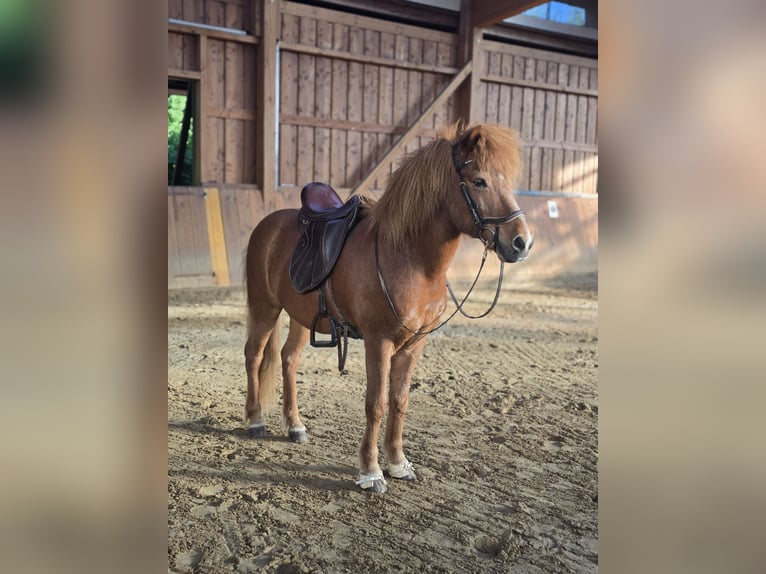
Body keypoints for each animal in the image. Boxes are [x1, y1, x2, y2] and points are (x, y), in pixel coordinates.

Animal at [243, 123, 533, 493]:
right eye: (479, 181)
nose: (522, 242)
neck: (411, 257)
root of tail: (268, 224)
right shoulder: (378, 341)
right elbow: (376, 403)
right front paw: (371, 472)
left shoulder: (414, 343)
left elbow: (399, 400)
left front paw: (397, 463)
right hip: (264, 306)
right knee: (254, 355)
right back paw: (255, 420)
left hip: (300, 317)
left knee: (288, 359)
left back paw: (295, 425)